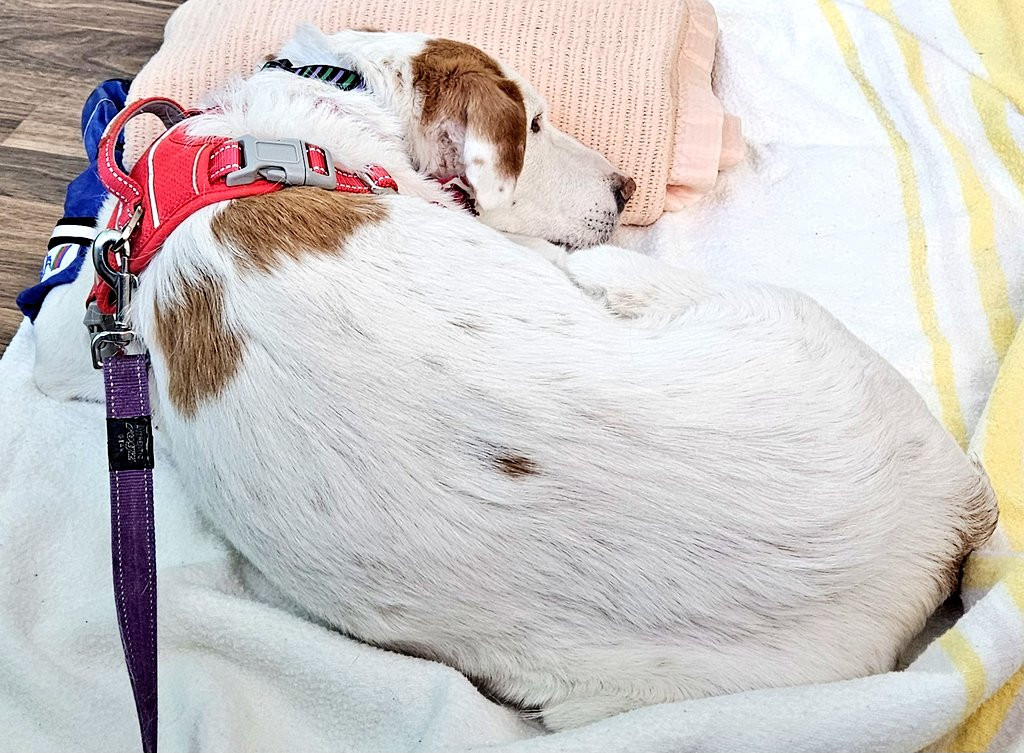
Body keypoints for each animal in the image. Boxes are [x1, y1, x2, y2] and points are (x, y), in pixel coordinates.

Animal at [35, 28, 995, 730]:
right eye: (532, 124)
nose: (628, 184)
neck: (283, 136)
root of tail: (945, 515)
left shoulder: (80, 336)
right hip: (709, 297)